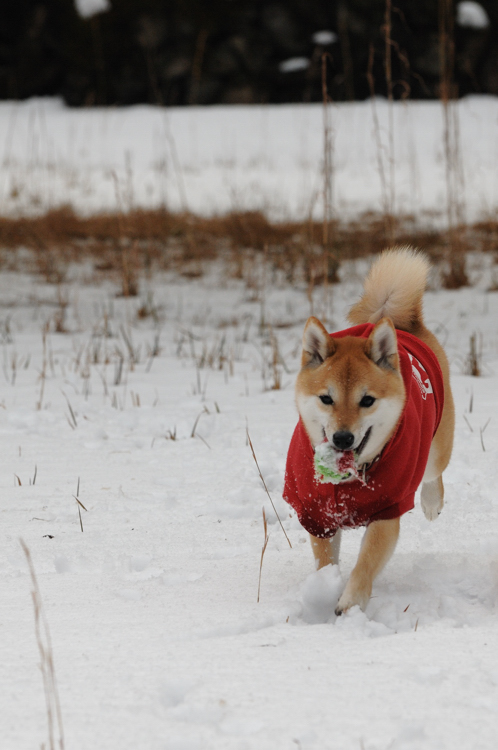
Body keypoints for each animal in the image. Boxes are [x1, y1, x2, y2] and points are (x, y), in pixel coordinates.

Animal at [282, 250, 454, 612]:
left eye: (367, 400)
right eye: (326, 398)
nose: (343, 438)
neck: (347, 481)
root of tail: (400, 323)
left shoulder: (387, 512)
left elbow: (366, 563)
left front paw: (349, 603)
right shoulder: (317, 514)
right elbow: (325, 561)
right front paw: (324, 591)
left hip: (436, 446)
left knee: (434, 473)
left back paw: (432, 502)